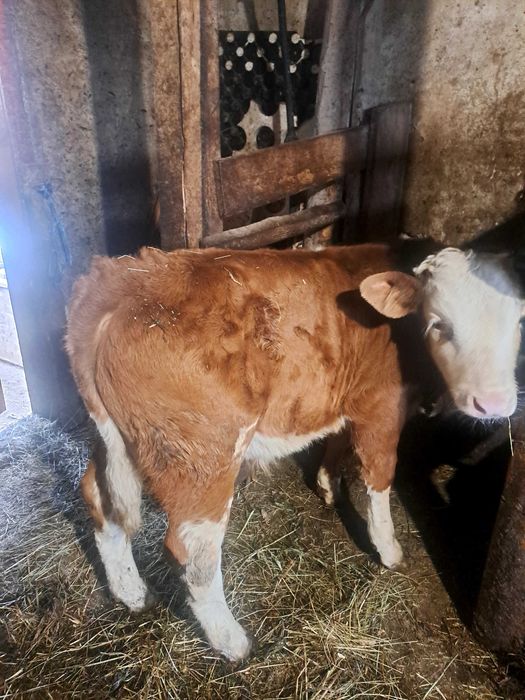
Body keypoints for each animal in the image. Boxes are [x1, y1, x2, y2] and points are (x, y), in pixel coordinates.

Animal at [65, 241, 523, 661]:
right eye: (439, 324)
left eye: (519, 322)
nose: (493, 404)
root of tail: (123, 279)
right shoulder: (381, 405)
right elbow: (380, 476)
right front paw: (389, 550)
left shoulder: (344, 398)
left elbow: (336, 441)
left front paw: (327, 487)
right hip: (204, 456)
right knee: (193, 551)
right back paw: (232, 643)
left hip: (117, 441)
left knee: (98, 499)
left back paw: (131, 593)